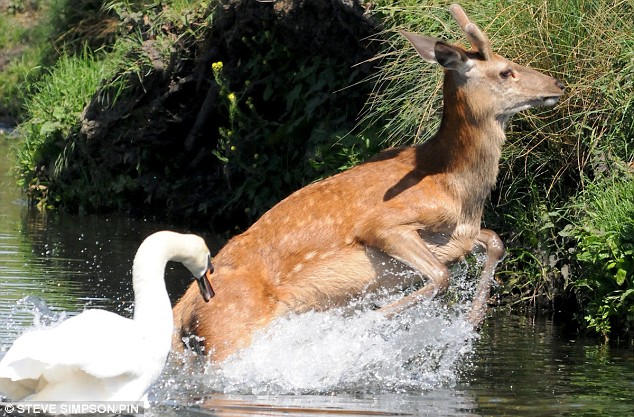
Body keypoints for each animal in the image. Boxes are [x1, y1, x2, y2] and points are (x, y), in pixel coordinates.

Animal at [170, 3, 560, 360]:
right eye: (506, 72)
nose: (556, 83)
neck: (457, 187)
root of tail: (182, 310)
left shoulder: (459, 235)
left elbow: (495, 241)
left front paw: (473, 318)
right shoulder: (384, 222)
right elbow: (440, 276)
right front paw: (369, 321)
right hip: (229, 331)